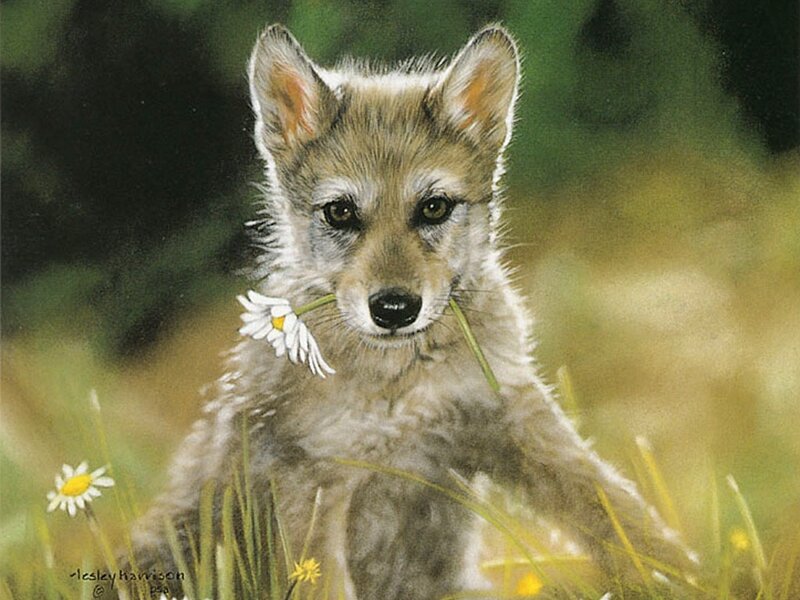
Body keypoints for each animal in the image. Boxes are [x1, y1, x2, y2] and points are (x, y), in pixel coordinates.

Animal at [127, 24, 696, 599]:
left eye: (434, 207)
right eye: (340, 212)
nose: (395, 309)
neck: (404, 385)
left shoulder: (511, 416)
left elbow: (618, 514)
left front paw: (692, 576)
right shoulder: (315, 481)